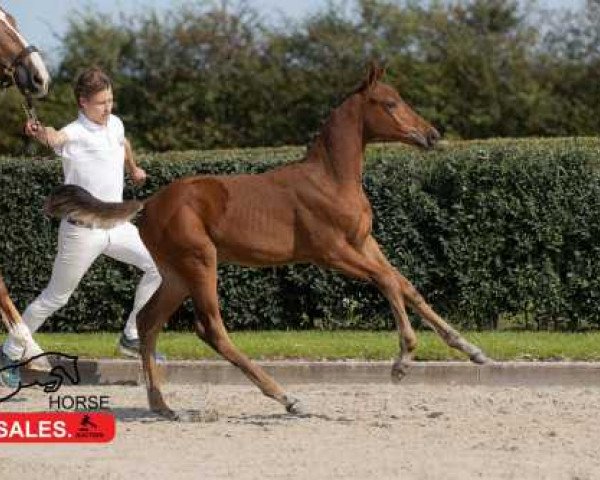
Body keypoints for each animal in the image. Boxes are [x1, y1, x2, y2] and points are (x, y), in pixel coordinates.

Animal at [45, 65, 488, 418]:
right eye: (390, 103)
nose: (432, 135)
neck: (331, 178)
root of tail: (149, 204)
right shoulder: (331, 251)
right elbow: (388, 281)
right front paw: (403, 358)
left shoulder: (363, 242)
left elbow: (405, 284)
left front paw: (470, 348)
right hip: (200, 261)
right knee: (211, 329)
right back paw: (287, 397)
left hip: (174, 273)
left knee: (149, 320)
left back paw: (164, 406)